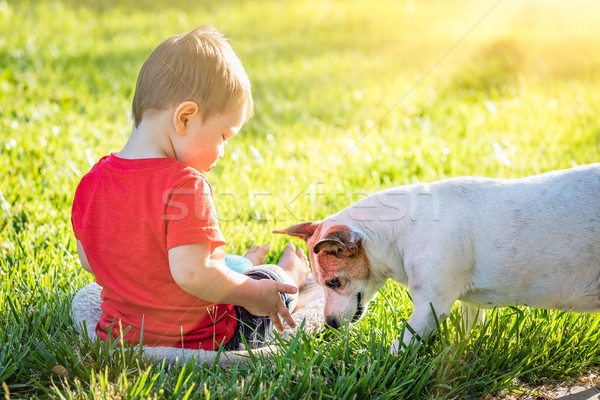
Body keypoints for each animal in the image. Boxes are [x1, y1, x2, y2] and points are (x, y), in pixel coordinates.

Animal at [276, 164, 600, 354]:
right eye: (319, 283)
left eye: (334, 282)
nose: (329, 324)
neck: (400, 232)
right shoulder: (469, 307)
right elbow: (468, 330)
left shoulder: (429, 309)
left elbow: (400, 347)